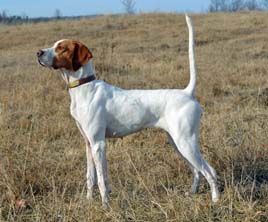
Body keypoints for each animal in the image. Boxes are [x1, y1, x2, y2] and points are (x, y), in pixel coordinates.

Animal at [36, 14, 220, 207]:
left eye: (62, 48)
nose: (38, 53)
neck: (85, 87)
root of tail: (187, 92)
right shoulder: (88, 143)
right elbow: (91, 177)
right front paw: (88, 201)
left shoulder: (98, 143)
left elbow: (101, 180)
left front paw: (105, 206)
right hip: (177, 142)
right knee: (197, 171)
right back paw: (193, 192)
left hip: (186, 142)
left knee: (210, 170)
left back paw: (215, 200)